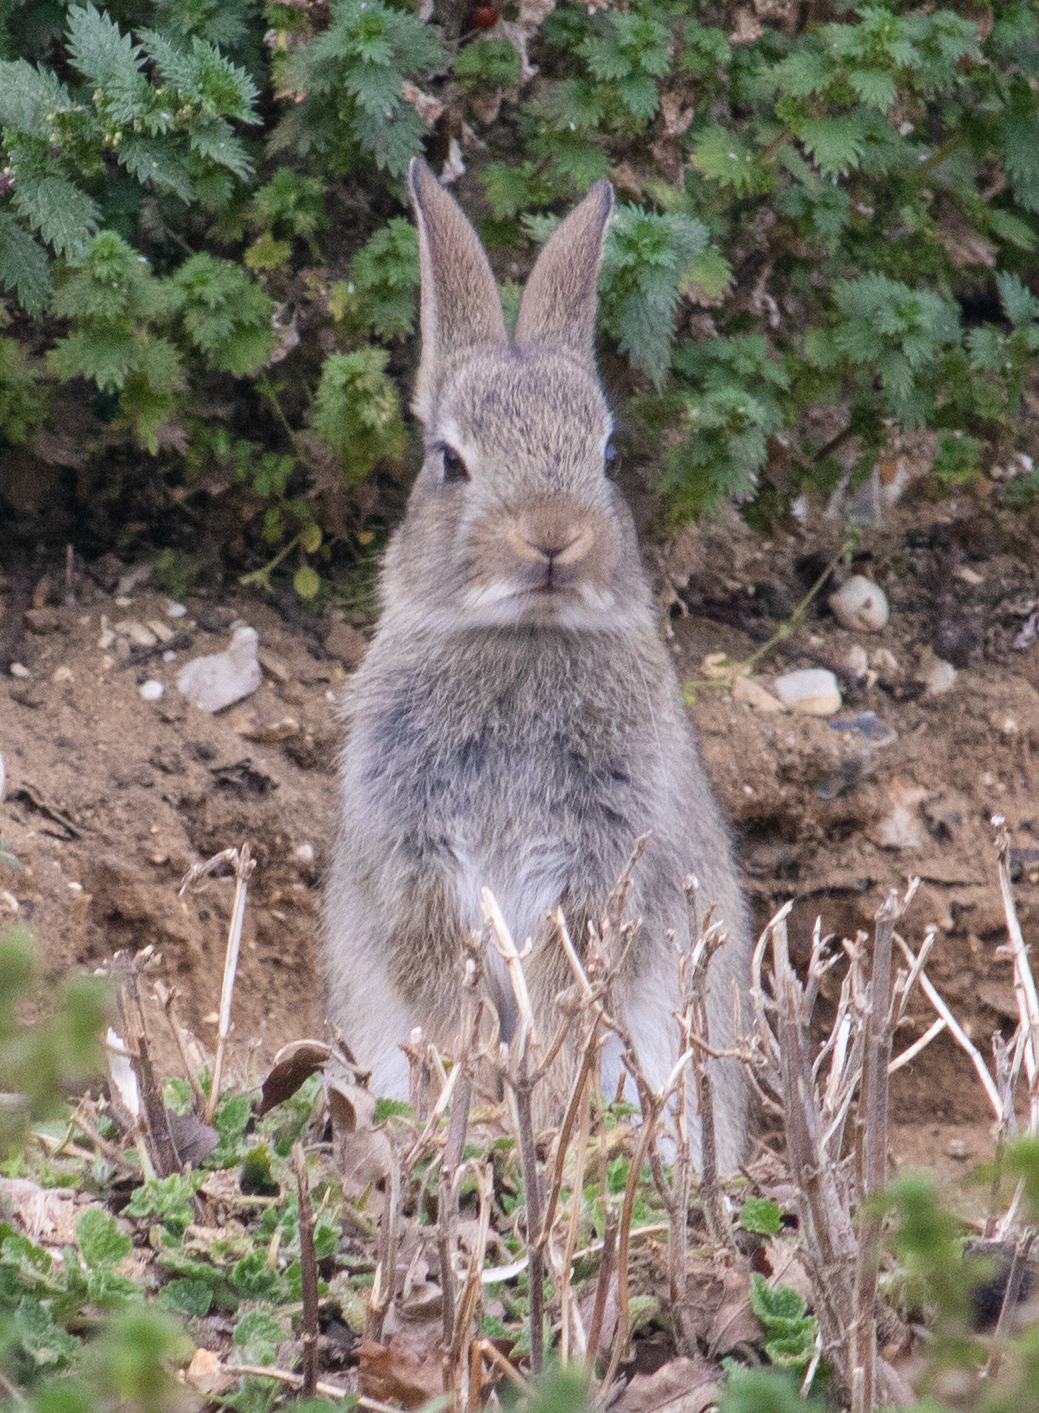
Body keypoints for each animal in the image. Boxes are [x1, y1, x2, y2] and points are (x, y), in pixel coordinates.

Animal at [323, 157, 752, 1170]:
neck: (523, 637)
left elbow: (570, 985)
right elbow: (448, 982)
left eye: (608, 454)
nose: (553, 537)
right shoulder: (415, 855)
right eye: (449, 461)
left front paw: (548, 1105)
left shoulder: (602, 860)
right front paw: (473, 1096)